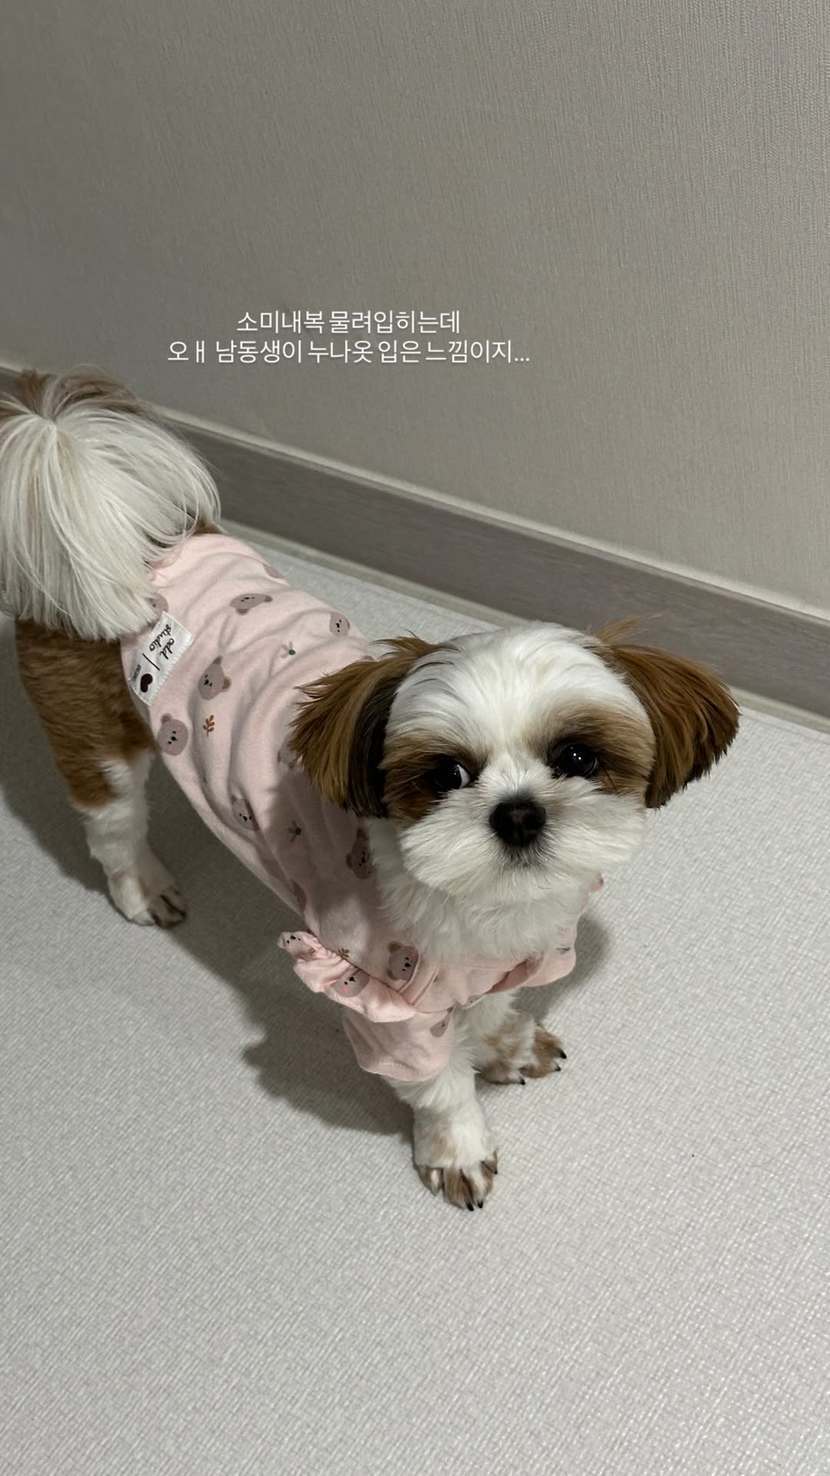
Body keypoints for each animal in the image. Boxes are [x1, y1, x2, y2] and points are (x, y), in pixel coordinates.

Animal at [0, 370, 739, 1209]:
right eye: (446, 775)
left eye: (577, 756)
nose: (519, 813)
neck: (487, 911)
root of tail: (122, 530)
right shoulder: (377, 990)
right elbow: (436, 1081)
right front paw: (456, 1145)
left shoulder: (506, 962)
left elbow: (489, 1008)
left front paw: (501, 1044)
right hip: (100, 742)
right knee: (111, 824)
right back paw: (141, 887)